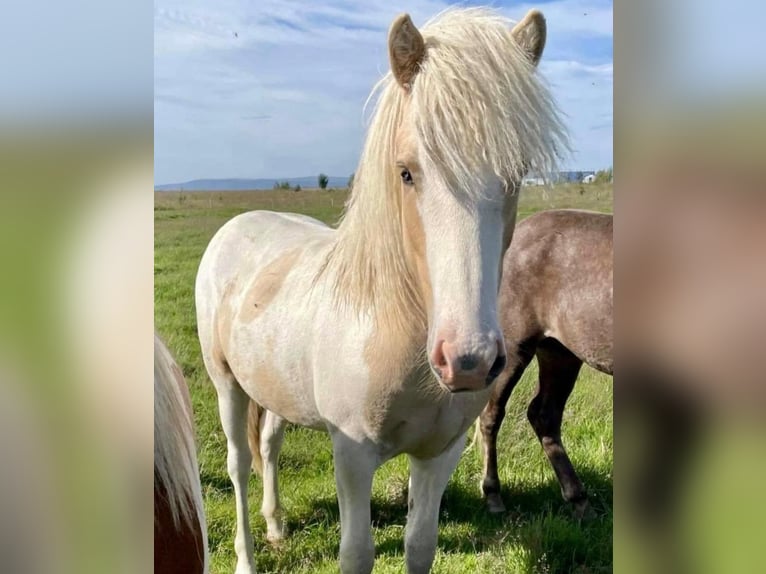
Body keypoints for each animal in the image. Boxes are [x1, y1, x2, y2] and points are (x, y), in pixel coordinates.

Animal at [195, 8, 567, 573]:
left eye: (516, 175)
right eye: (407, 172)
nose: (469, 361)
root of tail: (240, 222)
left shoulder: (439, 454)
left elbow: (420, 545)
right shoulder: (352, 456)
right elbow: (357, 553)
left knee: (271, 443)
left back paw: (277, 526)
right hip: (226, 384)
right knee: (239, 463)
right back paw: (246, 558)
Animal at [475, 209, 613, 515]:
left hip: (559, 353)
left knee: (544, 416)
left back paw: (579, 500)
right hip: (514, 349)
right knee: (491, 416)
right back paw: (493, 496)